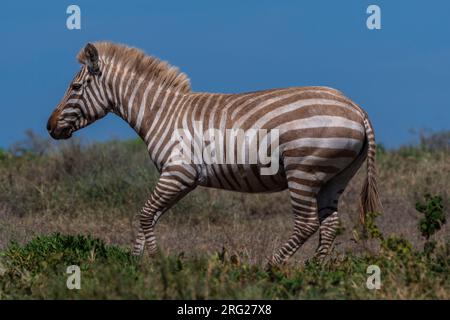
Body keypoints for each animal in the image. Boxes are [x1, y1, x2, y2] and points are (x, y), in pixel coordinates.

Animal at [47, 43, 382, 268]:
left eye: (75, 87)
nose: (50, 127)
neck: (161, 113)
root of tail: (355, 107)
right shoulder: (182, 178)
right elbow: (151, 215)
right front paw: (136, 264)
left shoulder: (178, 172)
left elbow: (145, 214)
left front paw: (155, 263)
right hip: (336, 176)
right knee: (330, 223)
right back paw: (317, 271)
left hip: (304, 170)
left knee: (307, 223)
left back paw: (271, 267)